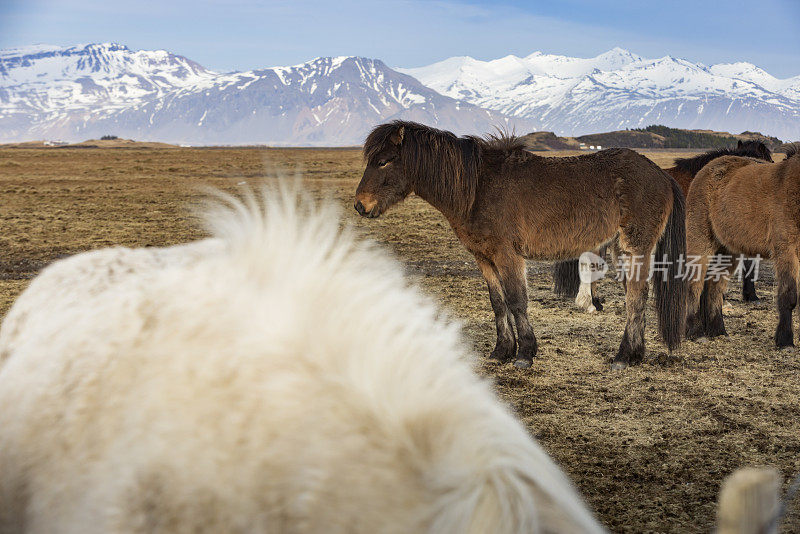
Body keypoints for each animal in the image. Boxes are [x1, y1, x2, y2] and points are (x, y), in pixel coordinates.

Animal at [356, 122, 688, 372]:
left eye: (383, 161)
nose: (360, 205)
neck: (477, 187)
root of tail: (661, 174)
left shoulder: (508, 255)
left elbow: (517, 301)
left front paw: (525, 354)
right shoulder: (484, 258)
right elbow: (497, 302)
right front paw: (502, 350)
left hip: (634, 248)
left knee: (635, 298)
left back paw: (623, 356)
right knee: (637, 295)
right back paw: (636, 354)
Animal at [680, 144, 800, 350]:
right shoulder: (786, 251)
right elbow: (789, 296)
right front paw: (785, 341)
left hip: (728, 251)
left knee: (715, 286)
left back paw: (718, 330)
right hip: (700, 240)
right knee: (695, 283)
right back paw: (696, 332)